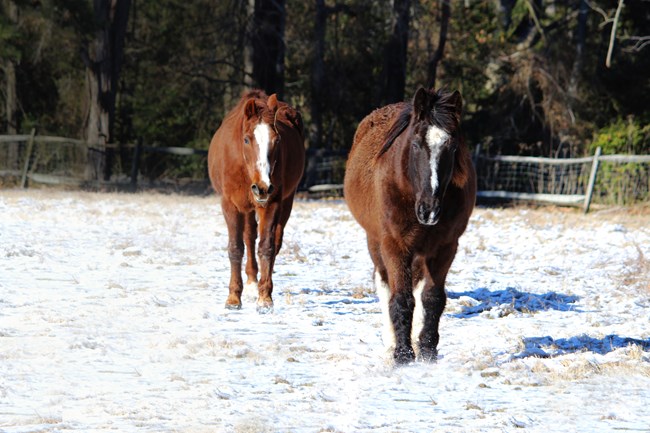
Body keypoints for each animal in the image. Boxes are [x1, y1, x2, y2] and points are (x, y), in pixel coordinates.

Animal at [210, 89, 306, 312]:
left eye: (277, 140)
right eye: (246, 140)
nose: (262, 187)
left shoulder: (271, 203)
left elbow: (266, 247)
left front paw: (265, 298)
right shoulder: (230, 205)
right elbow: (236, 248)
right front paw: (233, 298)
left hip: (284, 202)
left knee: (273, 242)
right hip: (247, 207)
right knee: (248, 237)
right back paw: (251, 281)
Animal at [342, 86, 474, 362]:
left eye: (452, 146)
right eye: (415, 144)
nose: (429, 210)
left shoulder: (445, 247)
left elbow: (432, 297)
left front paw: (427, 350)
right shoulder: (395, 245)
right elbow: (400, 298)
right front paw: (403, 354)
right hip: (375, 242)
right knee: (384, 285)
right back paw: (391, 341)